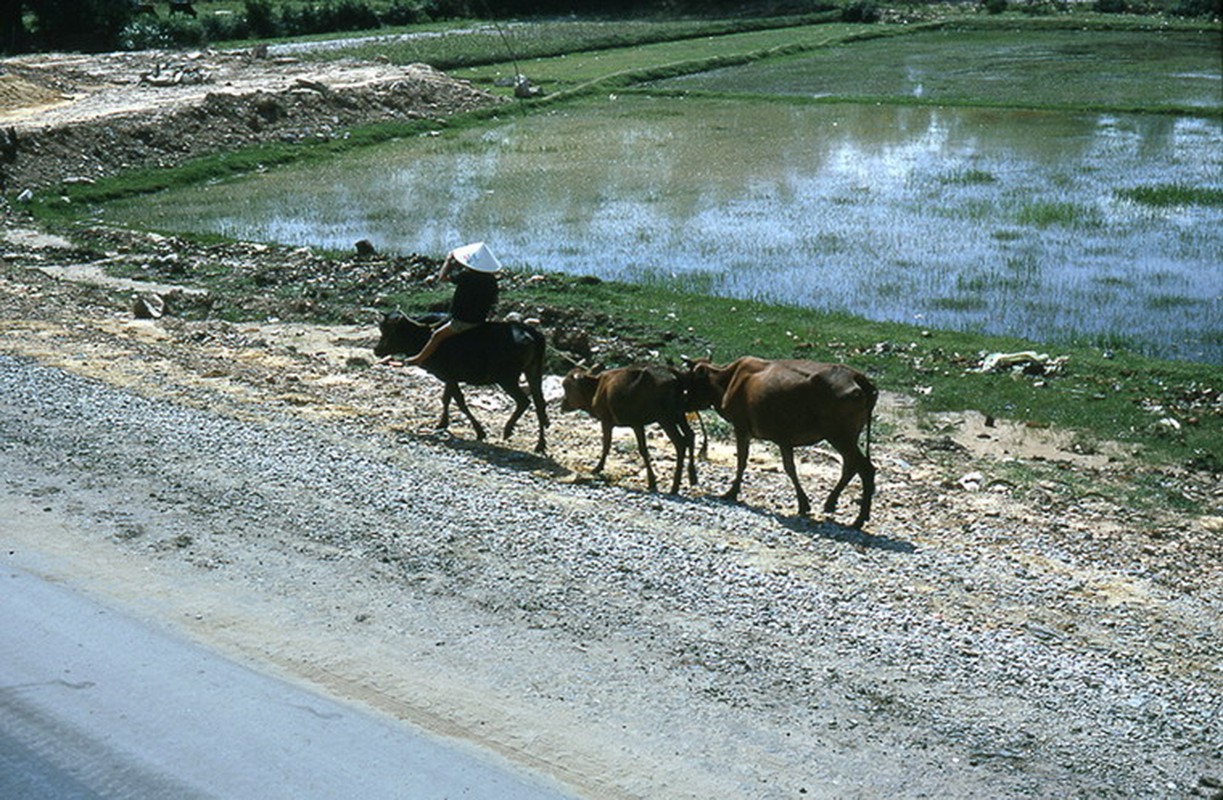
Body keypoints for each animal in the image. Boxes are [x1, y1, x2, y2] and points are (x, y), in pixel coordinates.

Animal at [369, 311, 547, 450]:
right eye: (381, 328)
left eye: (390, 330)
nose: (376, 350)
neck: (424, 336)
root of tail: (533, 335)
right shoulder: (449, 376)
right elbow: (447, 398)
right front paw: (442, 424)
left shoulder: (449, 374)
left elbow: (459, 401)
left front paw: (479, 431)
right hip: (533, 371)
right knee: (540, 403)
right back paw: (540, 444)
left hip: (507, 378)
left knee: (524, 401)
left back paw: (508, 430)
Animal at [562, 364, 699, 494]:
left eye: (566, 386)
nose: (562, 405)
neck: (595, 388)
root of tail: (675, 375)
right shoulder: (637, 424)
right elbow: (643, 450)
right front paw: (652, 482)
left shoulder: (607, 420)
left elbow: (606, 445)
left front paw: (597, 468)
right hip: (679, 414)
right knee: (690, 435)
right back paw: (692, 477)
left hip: (665, 418)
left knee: (680, 443)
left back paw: (674, 487)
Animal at [689, 359, 880, 530]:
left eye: (690, 378)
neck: (729, 379)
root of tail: (858, 377)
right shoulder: (784, 440)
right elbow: (790, 468)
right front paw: (803, 504)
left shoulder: (741, 427)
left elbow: (742, 460)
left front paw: (731, 493)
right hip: (847, 437)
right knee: (851, 466)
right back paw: (831, 504)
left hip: (839, 436)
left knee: (865, 468)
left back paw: (858, 519)